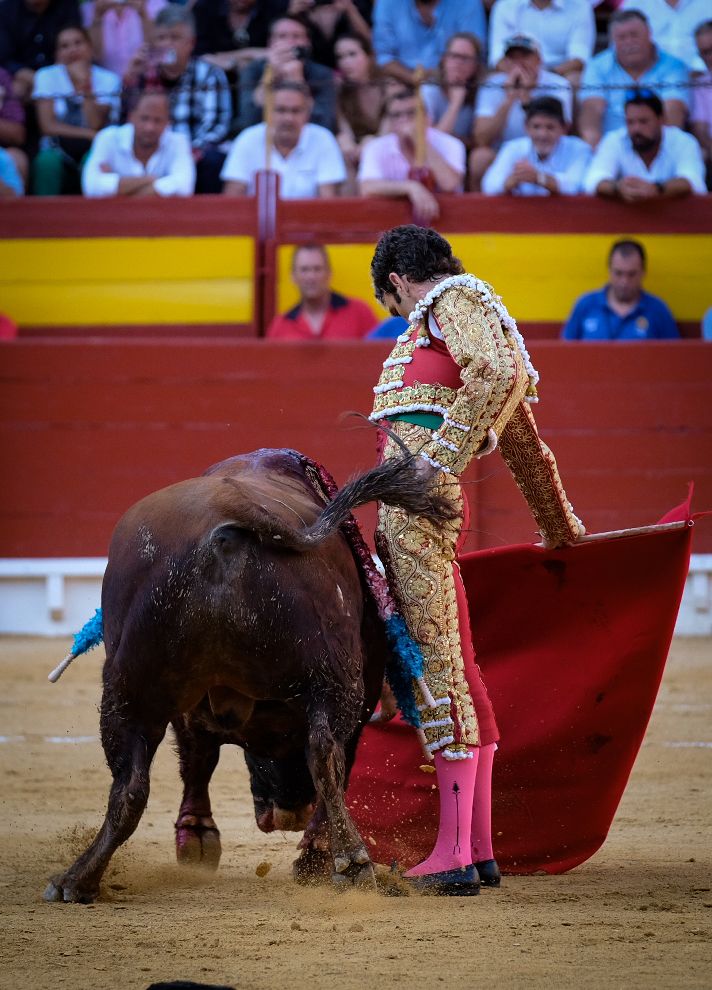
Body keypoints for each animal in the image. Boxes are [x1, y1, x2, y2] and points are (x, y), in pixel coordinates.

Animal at [44, 450, 448, 908]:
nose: (289, 814)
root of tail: (226, 521)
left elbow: (197, 757)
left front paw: (196, 838)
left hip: (128, 687)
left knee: (129, 785)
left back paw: (76, 879)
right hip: (334, 680)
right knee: (326, 752)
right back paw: (346, 862)